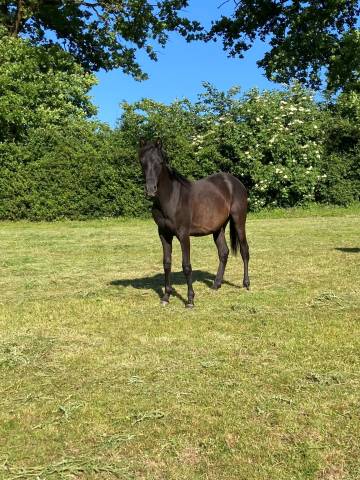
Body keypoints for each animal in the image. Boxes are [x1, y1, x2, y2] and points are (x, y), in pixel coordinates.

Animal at [139, 139, 250, 308]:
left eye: (160, 162)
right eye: (142, 162)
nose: (151, 190)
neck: (171, 197)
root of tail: (234, 182)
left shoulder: (183, 235)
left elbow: (186, 266)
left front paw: (190, 300)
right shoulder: (164, 234)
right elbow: (167, 263)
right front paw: (166, 297)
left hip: (239, 221)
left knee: (244, 250)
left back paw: (246, 283)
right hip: (218, 228)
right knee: (223, 252)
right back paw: (216, 284)